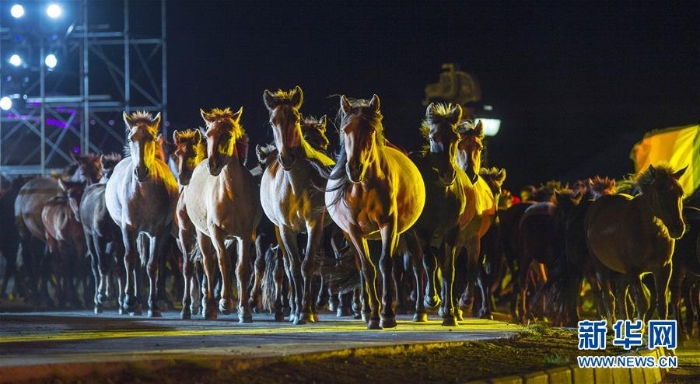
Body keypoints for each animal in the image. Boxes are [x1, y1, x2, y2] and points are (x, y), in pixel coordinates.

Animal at [183, 107, 262, 320]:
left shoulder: (244, 235)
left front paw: (244, 310)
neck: (230, 194)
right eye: (208, 135)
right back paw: (209, 306)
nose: (213, 165)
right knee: (208, 264)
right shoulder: (215, 231)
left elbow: (241, 269)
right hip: (202, 233)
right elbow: (222, 263)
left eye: (228, 135)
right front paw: (225, 302)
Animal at [262, 86, 334, 324]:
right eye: (272, 121)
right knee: (287, 266)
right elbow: (293, 267)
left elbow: (308, 264)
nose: (287, 158)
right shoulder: (286, 229)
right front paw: (297, 312)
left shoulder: (315, 225)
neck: (295, 186)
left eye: (295, 118)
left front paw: (306, 311)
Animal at [326, 94, 426, 330]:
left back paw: (419, 311)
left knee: (417, 263)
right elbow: (367, 268)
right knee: (361, 267)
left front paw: (387, 315)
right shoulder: (354, 231)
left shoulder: (388, 225)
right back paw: (365, 310)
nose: (354, 169)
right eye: (345, 130)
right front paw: (373, 316)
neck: (363, 188)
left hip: (408, 230)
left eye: (370, 130)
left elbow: (385, 264)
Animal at [584, 164, 688, 322]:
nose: (678, 229)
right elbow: (642, 303)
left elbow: (662, 305)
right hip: (600, 267)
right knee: (608, 297)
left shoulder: (663, 268)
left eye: (680, 193)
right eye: (660, 193)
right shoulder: (633, 270)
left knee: (620, 291)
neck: (650, 232)